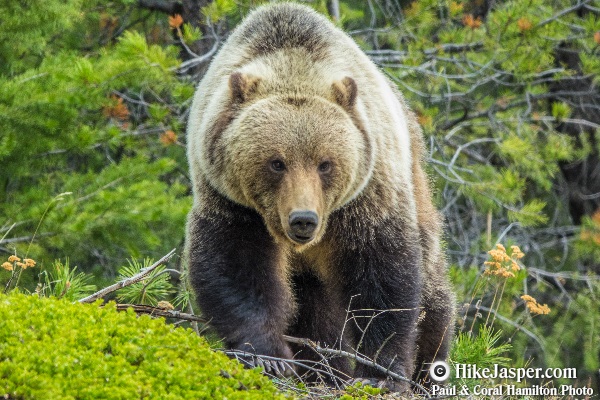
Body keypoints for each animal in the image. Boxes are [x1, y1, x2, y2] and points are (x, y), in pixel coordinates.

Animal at [186, 1, 454, 392]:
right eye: (276, 162)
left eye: (325, 163)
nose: (303, 219)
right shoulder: (231, 200)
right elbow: (237, 267)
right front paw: (268, 356)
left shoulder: (367, 198)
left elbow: (383, 277)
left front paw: (380, 373)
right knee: (315, 309)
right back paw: (322, 369)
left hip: (415, 184)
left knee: (432, 288)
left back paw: (428, 366)